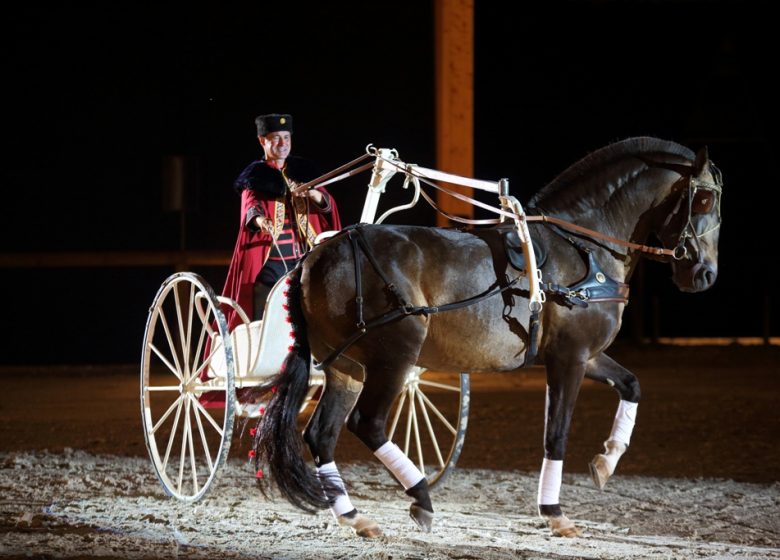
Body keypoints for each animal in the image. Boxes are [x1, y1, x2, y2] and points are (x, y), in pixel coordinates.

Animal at [253, 136, 724, 540]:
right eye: (703, 199)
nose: (705, 274)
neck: (583, 247)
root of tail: (316, 255)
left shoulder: (587, 355)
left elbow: (632, 385)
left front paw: (607, 460)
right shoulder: (569, 357)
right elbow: (557, 433)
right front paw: (554, 512)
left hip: (345, 364)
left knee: (322, 434)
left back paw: (354, 515)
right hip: (394, 357)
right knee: (366, 423)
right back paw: (420, 496)